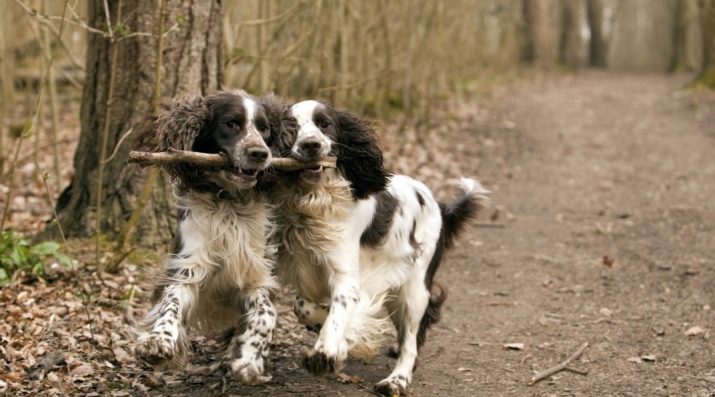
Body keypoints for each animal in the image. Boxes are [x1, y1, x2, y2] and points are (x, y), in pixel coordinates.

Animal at [134, 90, 282, 384]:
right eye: (231, 123)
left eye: (265, 129)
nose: (260, 153)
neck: (229, 203)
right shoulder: (189, 263)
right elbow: (171, 302)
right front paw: (159, 340)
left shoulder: (256, 272)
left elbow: (265, 314)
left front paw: (249, 360)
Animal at [270, 98, 492, 392]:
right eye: (291, 127)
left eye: (325, 124)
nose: (311, 145)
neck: (315, 201)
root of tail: (440, 205)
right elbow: (303, 306)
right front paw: (328, 327)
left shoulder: (346, 276)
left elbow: (339, 314)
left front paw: (325, 353)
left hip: (415, 288)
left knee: (411, 342)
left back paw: (396, 381)